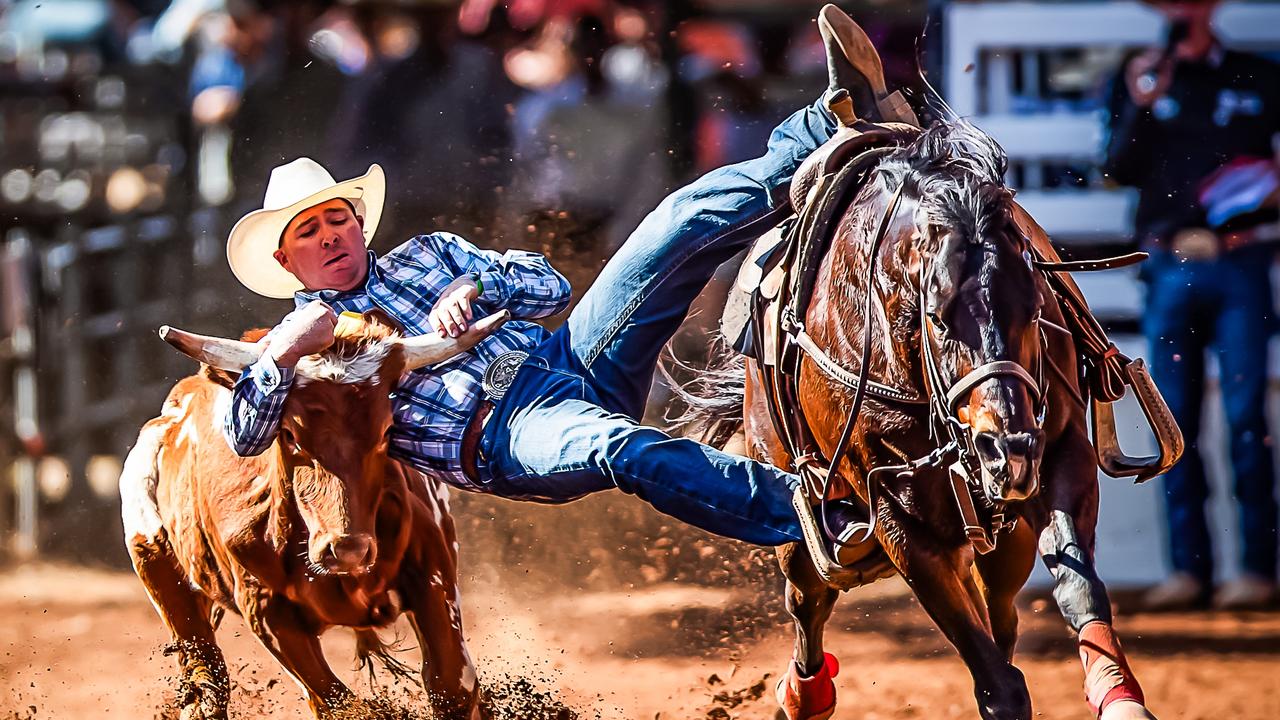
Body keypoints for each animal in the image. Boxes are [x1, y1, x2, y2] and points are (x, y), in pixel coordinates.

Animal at [680, 119, 1162, 717]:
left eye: (1033, 309)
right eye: (938, 316)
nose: (1005, 449)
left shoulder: (1060, 453)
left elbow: (1076, 584)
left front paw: (1119, 695)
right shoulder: (898, 518)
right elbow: (996, 681)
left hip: (1004, 541)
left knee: (999, 611)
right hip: (791, 504)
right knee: (807, 600)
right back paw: (802, 696)